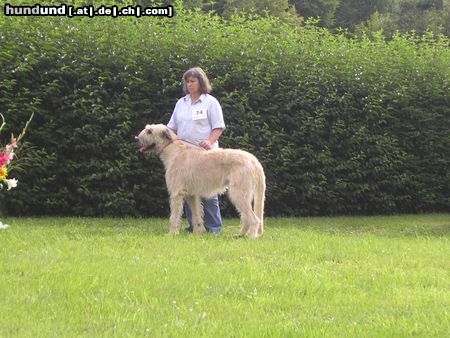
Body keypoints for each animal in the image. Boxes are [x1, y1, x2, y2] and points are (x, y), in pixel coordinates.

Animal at [135, 123, 266, 238]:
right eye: (147, 129)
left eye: (150, 131)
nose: (136, 139)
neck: (171, 148)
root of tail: (255, 161)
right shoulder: (191, 195)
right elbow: (196, 215)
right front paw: (197, 234)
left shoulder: (177, 193)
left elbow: (174, 216)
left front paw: (172, 234)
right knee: (246, 218)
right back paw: (240, 235)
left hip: (238, 193)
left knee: (254, 219)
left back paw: (252, 238)